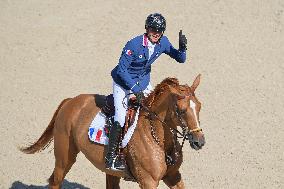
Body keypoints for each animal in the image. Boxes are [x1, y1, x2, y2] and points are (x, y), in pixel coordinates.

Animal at [21, 75, 205, 189]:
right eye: (181, 110)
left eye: (199, 106)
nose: (199, 141)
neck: (158, 139)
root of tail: (70, 101)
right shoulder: (148, 181)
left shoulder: (173, 175)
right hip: (64, 158)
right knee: (55, 181)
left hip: (109, 171)